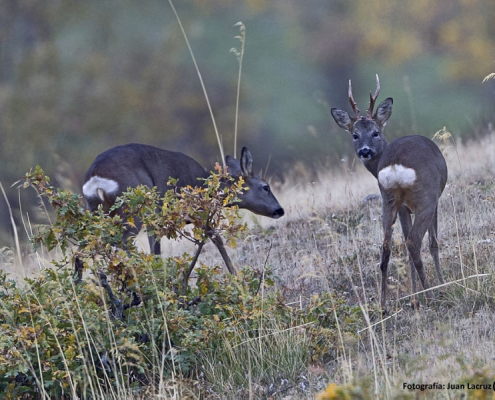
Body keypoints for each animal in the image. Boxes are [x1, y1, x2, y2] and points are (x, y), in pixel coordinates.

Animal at [79, 144, 284, 276]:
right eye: (265, 186)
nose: (279, 210)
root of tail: (95, 178)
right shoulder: (197, 210)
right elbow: (216, 238)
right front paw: (235, 276)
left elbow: (156, 250)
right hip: (135, 210)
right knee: (121, 244)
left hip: (96, 211)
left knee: (81, 250)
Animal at [332, 74, 448, 310]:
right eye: (355, 135)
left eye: (375, 132)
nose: (364, 151)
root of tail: (395, 168)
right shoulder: (434, 201)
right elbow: (433, 244)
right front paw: (441, 286)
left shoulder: (403, 209)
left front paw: (413, 297)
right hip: (425, 198)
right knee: (414, 243)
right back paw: (432, 295)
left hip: (388, 200)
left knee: (386, 248)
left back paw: (383, 305)